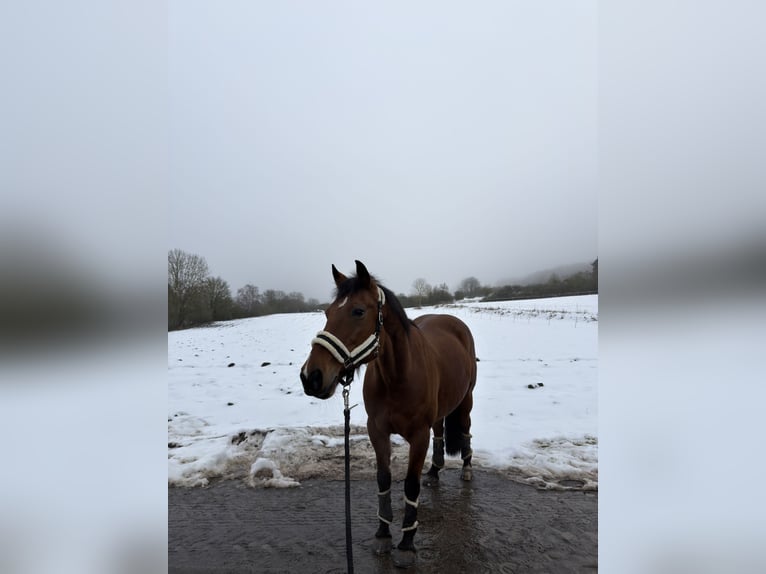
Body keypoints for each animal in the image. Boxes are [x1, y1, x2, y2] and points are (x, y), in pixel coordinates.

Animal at [300, 260, 477, 569]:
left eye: (358, 311)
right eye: (327, 312)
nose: (311, 376)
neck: (398, 376)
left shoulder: (418, 436)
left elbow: (410, 485)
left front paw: (407, 543)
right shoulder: (377, 431)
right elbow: (383, 478)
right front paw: (383, 533)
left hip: (465, 401)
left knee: (465, 429)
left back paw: (466, 468)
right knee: (440, 433)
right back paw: (435, 471)